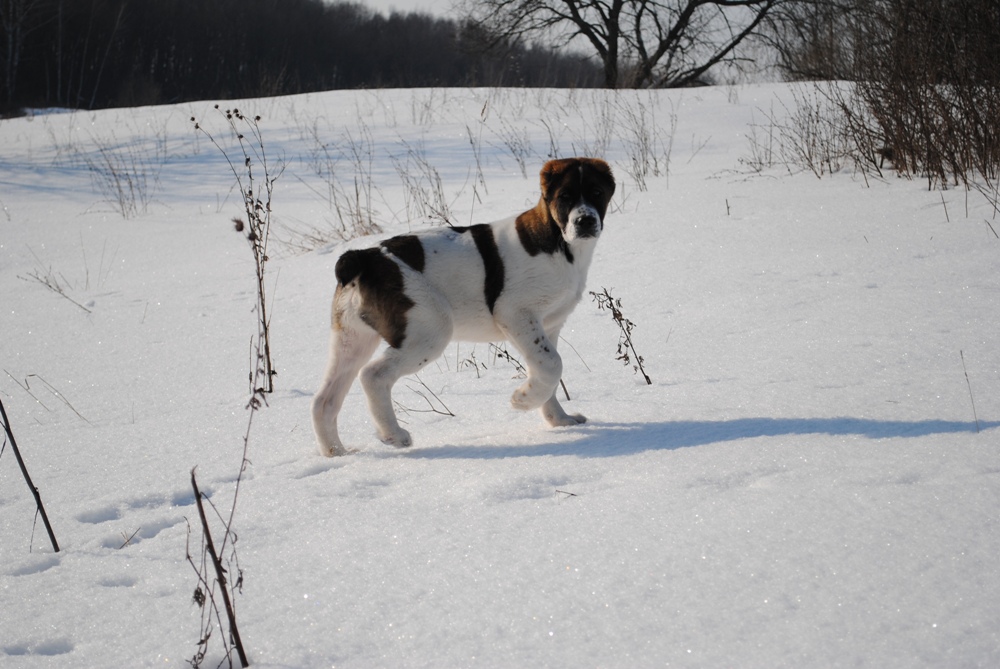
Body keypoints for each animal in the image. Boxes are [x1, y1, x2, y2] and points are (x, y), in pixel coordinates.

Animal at [311, 157, 615, 456]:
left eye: (597, 193)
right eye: (565, 197)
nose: (585, 221)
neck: (558, 241)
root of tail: (363, 257)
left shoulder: (548, 326)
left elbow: (547, 369)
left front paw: (559, 420)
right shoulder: (515, 313)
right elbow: (553, 365)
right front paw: (522, 400)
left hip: (352, 339)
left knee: (324, 399)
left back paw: (337, 452)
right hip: (429, 329)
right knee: (373, 375)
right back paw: (394, 435)